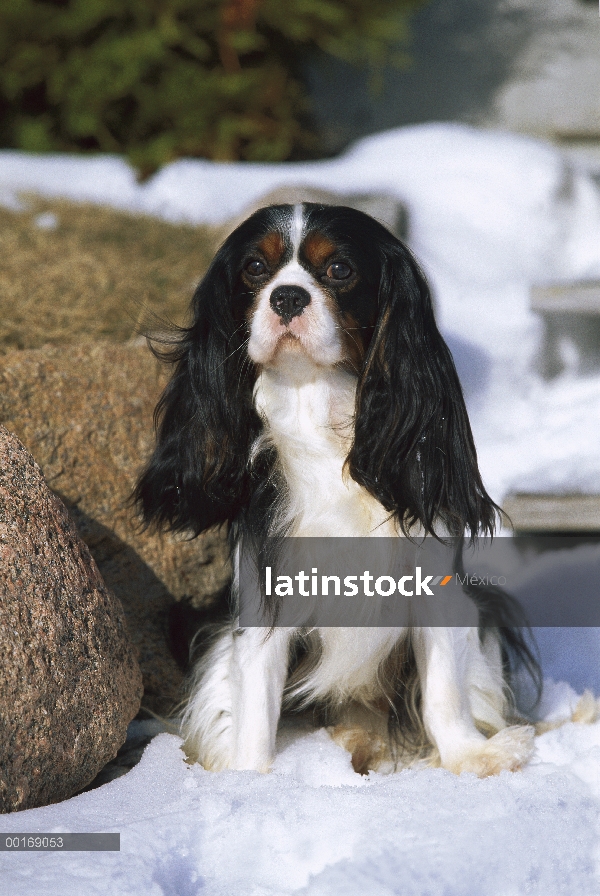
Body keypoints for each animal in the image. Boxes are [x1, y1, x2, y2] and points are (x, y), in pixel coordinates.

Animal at [137, 203, 540, 776]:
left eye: (339, 270)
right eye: (255, 268)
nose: (287, 296)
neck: (318, 407)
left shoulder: (433, 581)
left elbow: (444, 688)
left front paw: (469, 755)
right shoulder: (263, 594)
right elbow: (256, 703)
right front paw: (249, 781)